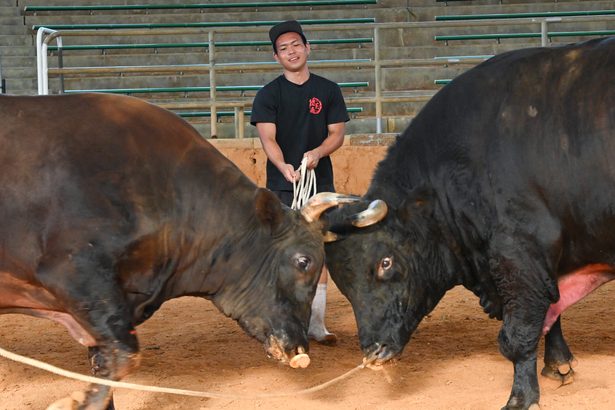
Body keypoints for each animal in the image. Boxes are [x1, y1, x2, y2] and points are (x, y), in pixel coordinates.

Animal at [0, 93, 356, 410]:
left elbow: (108, 365)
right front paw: (73, 401)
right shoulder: (76, 274)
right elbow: (125, 355)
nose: (299, 350)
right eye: (303, 261)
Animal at [324, 36, 615, 410]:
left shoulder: (519, 253)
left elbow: (518, 334)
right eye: (342, 283)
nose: (375, 351)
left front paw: (521, 397)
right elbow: (551, 311)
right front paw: (558, 364)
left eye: (385, 263)